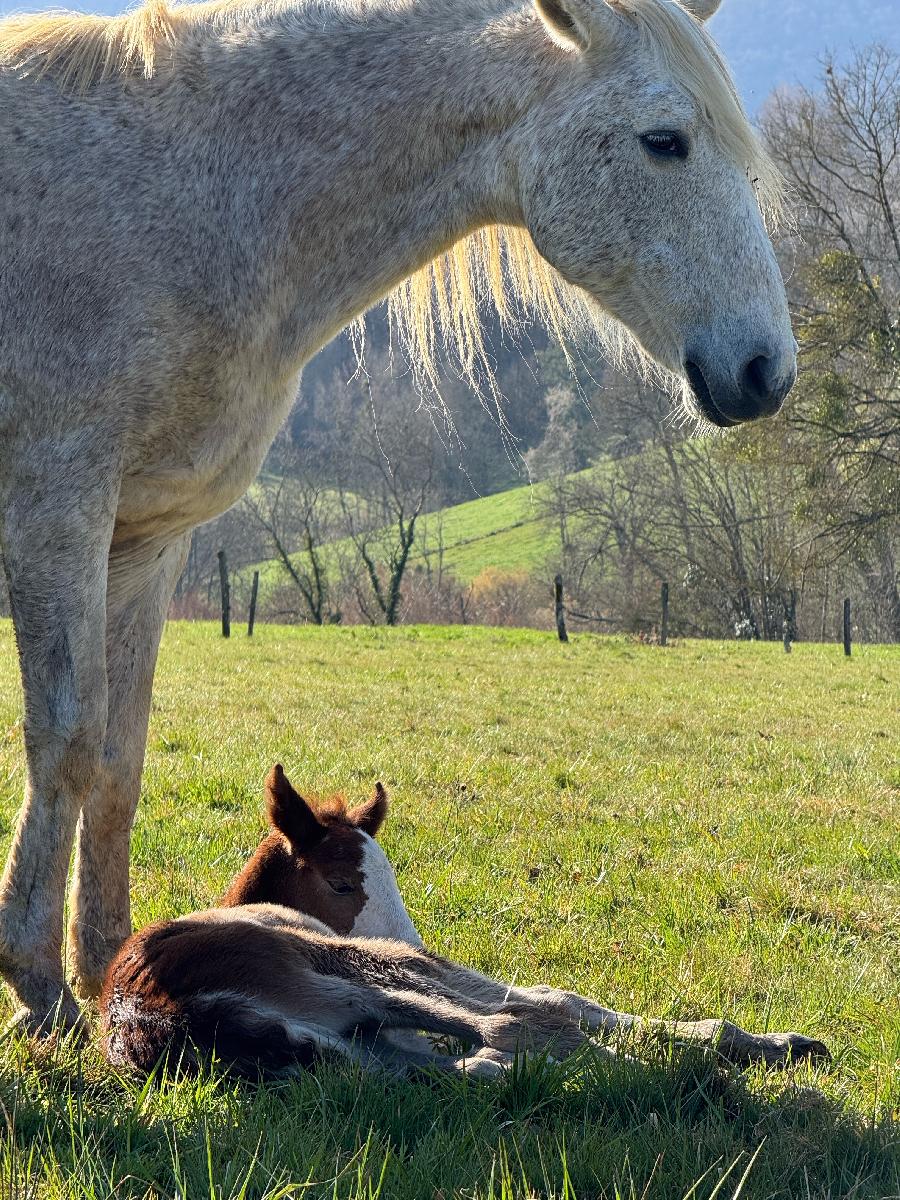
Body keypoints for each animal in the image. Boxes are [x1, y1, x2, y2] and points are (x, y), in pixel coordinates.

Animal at [0, 0, 797, 1033]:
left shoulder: (146, 540)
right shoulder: (57, 509)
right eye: (665, 142)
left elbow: (117, 758)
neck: (190, 196)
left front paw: (101, 965)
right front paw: (38, 987)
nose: (766, 370)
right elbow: (63, 742)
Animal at [100, 766, 828, 1077]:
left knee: (478, 1063)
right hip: (348, 970)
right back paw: (679, 1078)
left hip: (364, 1054)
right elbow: (550, 996)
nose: (405, 935)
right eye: (341, 882)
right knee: (514, 1023)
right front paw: (747, 1043)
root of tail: (169, 1016)